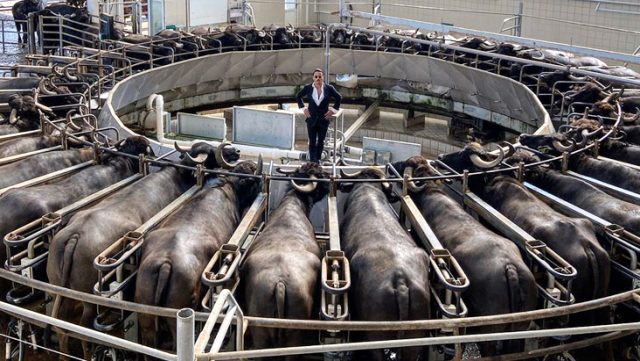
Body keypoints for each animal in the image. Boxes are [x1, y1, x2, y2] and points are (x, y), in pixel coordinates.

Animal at [392, 155, 536, 354]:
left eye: (405, 164)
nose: (393, 165)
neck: (431, 192)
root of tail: (510, 268)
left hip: (488, 334)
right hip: (519, 330)